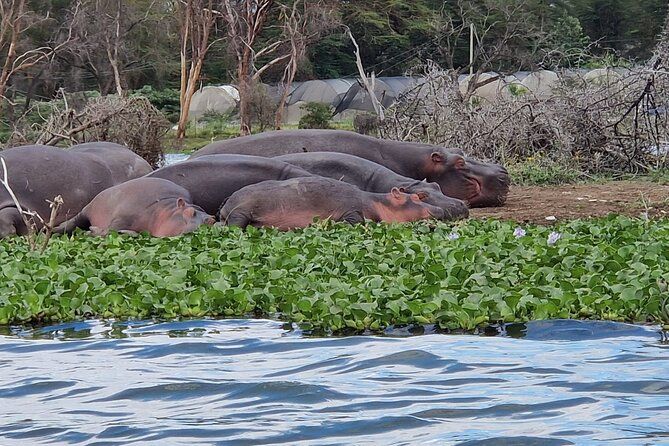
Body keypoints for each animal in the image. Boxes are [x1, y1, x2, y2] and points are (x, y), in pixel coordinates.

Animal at [56, 178, 217, 237]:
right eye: (190, 212)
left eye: (213, 219)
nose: (208, 221)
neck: (166, 210)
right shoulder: (122, 216)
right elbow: (109, 230)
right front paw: (92, 231)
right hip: (87, 211)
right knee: (72, 223)